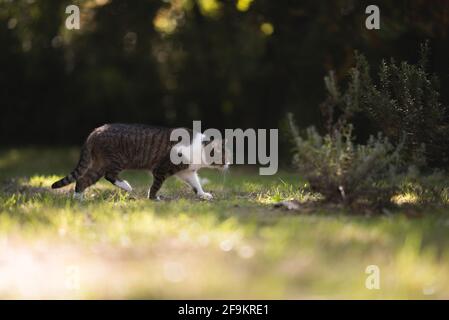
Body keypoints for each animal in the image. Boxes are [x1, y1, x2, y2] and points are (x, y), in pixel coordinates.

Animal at [50, 123, 229, 200]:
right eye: (224, 156)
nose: (228, 165)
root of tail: (95, 131)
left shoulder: (187, 172)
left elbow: (196, 184)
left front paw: (203, 194)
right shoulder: (161, 169)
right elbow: (156, 185)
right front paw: (153, 197)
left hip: (98, 164)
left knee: (82, 179)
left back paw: (78, 199)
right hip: (116, 159)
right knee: (109, 175)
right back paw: (126, 186)